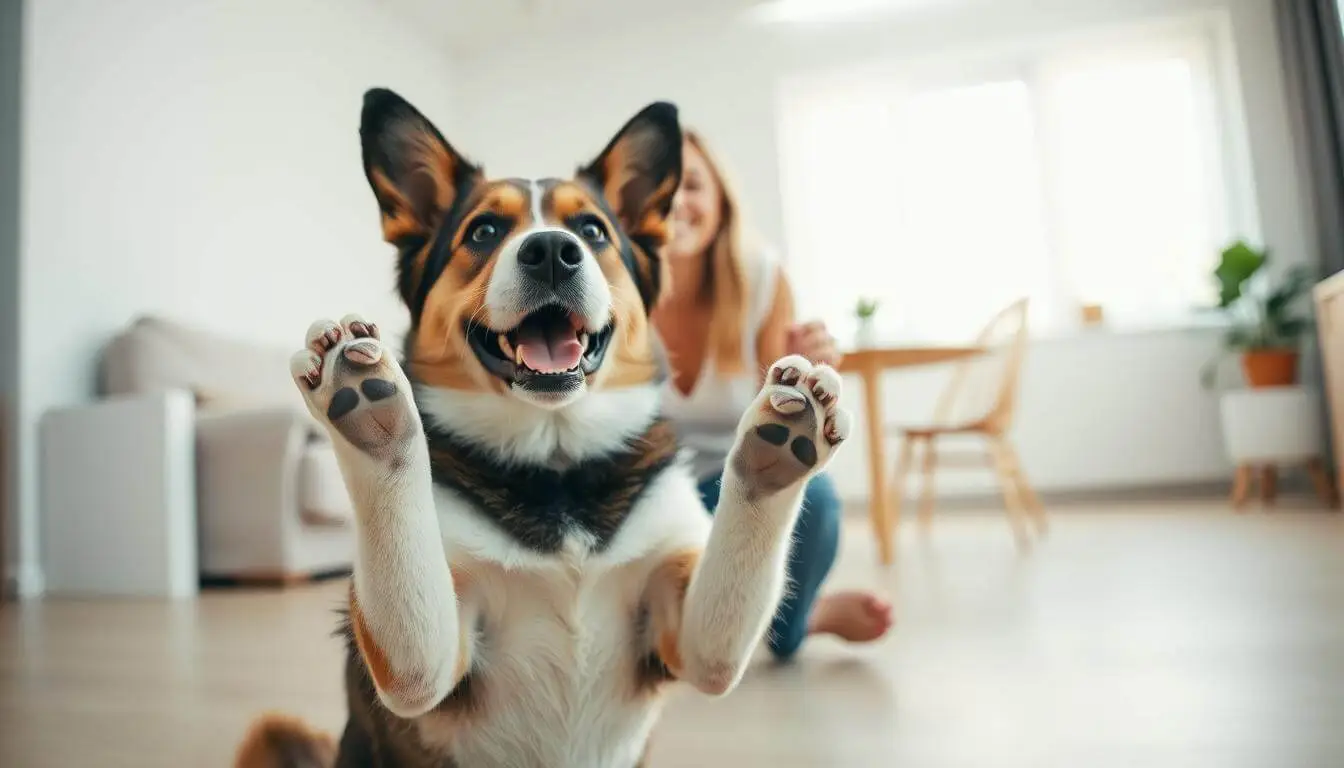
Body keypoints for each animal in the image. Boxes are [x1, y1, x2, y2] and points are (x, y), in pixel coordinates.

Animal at [233, 87, 849, 768]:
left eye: (592, 230)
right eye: (483, 230)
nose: (552, 250)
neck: (556, 466)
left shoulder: (691, 639)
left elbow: (728, 601)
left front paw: (776, 446)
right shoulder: (422, 670)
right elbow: (409, 610)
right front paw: (377, 420)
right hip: (275, 730)